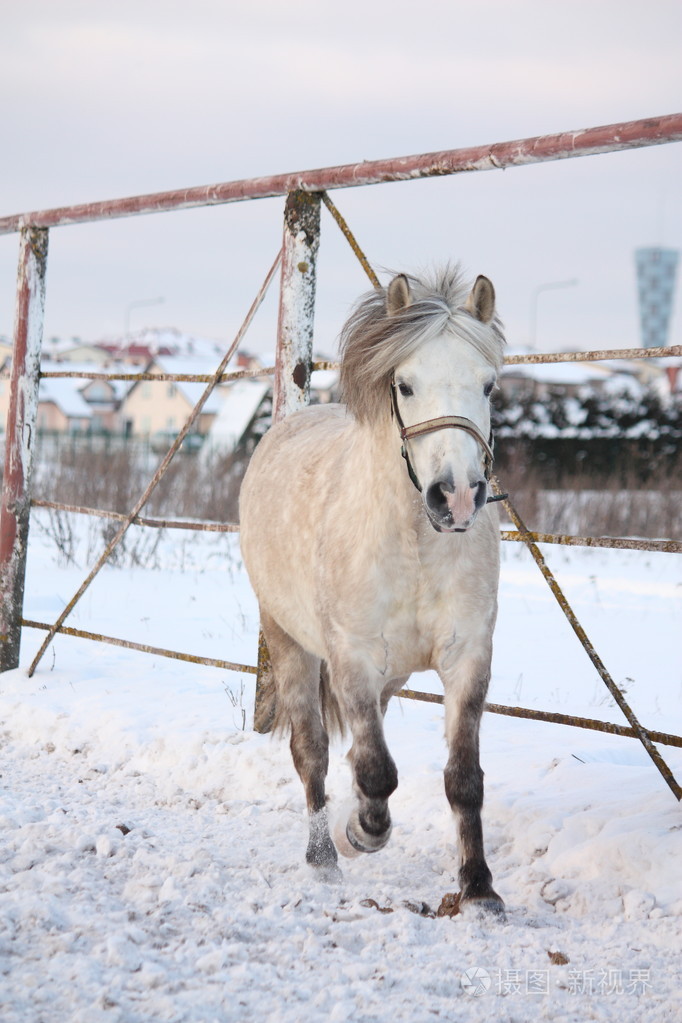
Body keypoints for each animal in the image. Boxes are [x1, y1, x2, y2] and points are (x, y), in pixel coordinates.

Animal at [239, 266, 505, 913]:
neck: (414, 547)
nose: (458, 496)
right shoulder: (352, 658)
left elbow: (463, 778)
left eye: (488, 386)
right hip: (289, 641)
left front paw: (479, 889)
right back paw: (325, 855)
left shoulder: (467, 657)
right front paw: (360, 833)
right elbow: (374, 771)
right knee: (313, 751)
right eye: (404, 385)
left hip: (393, 673)